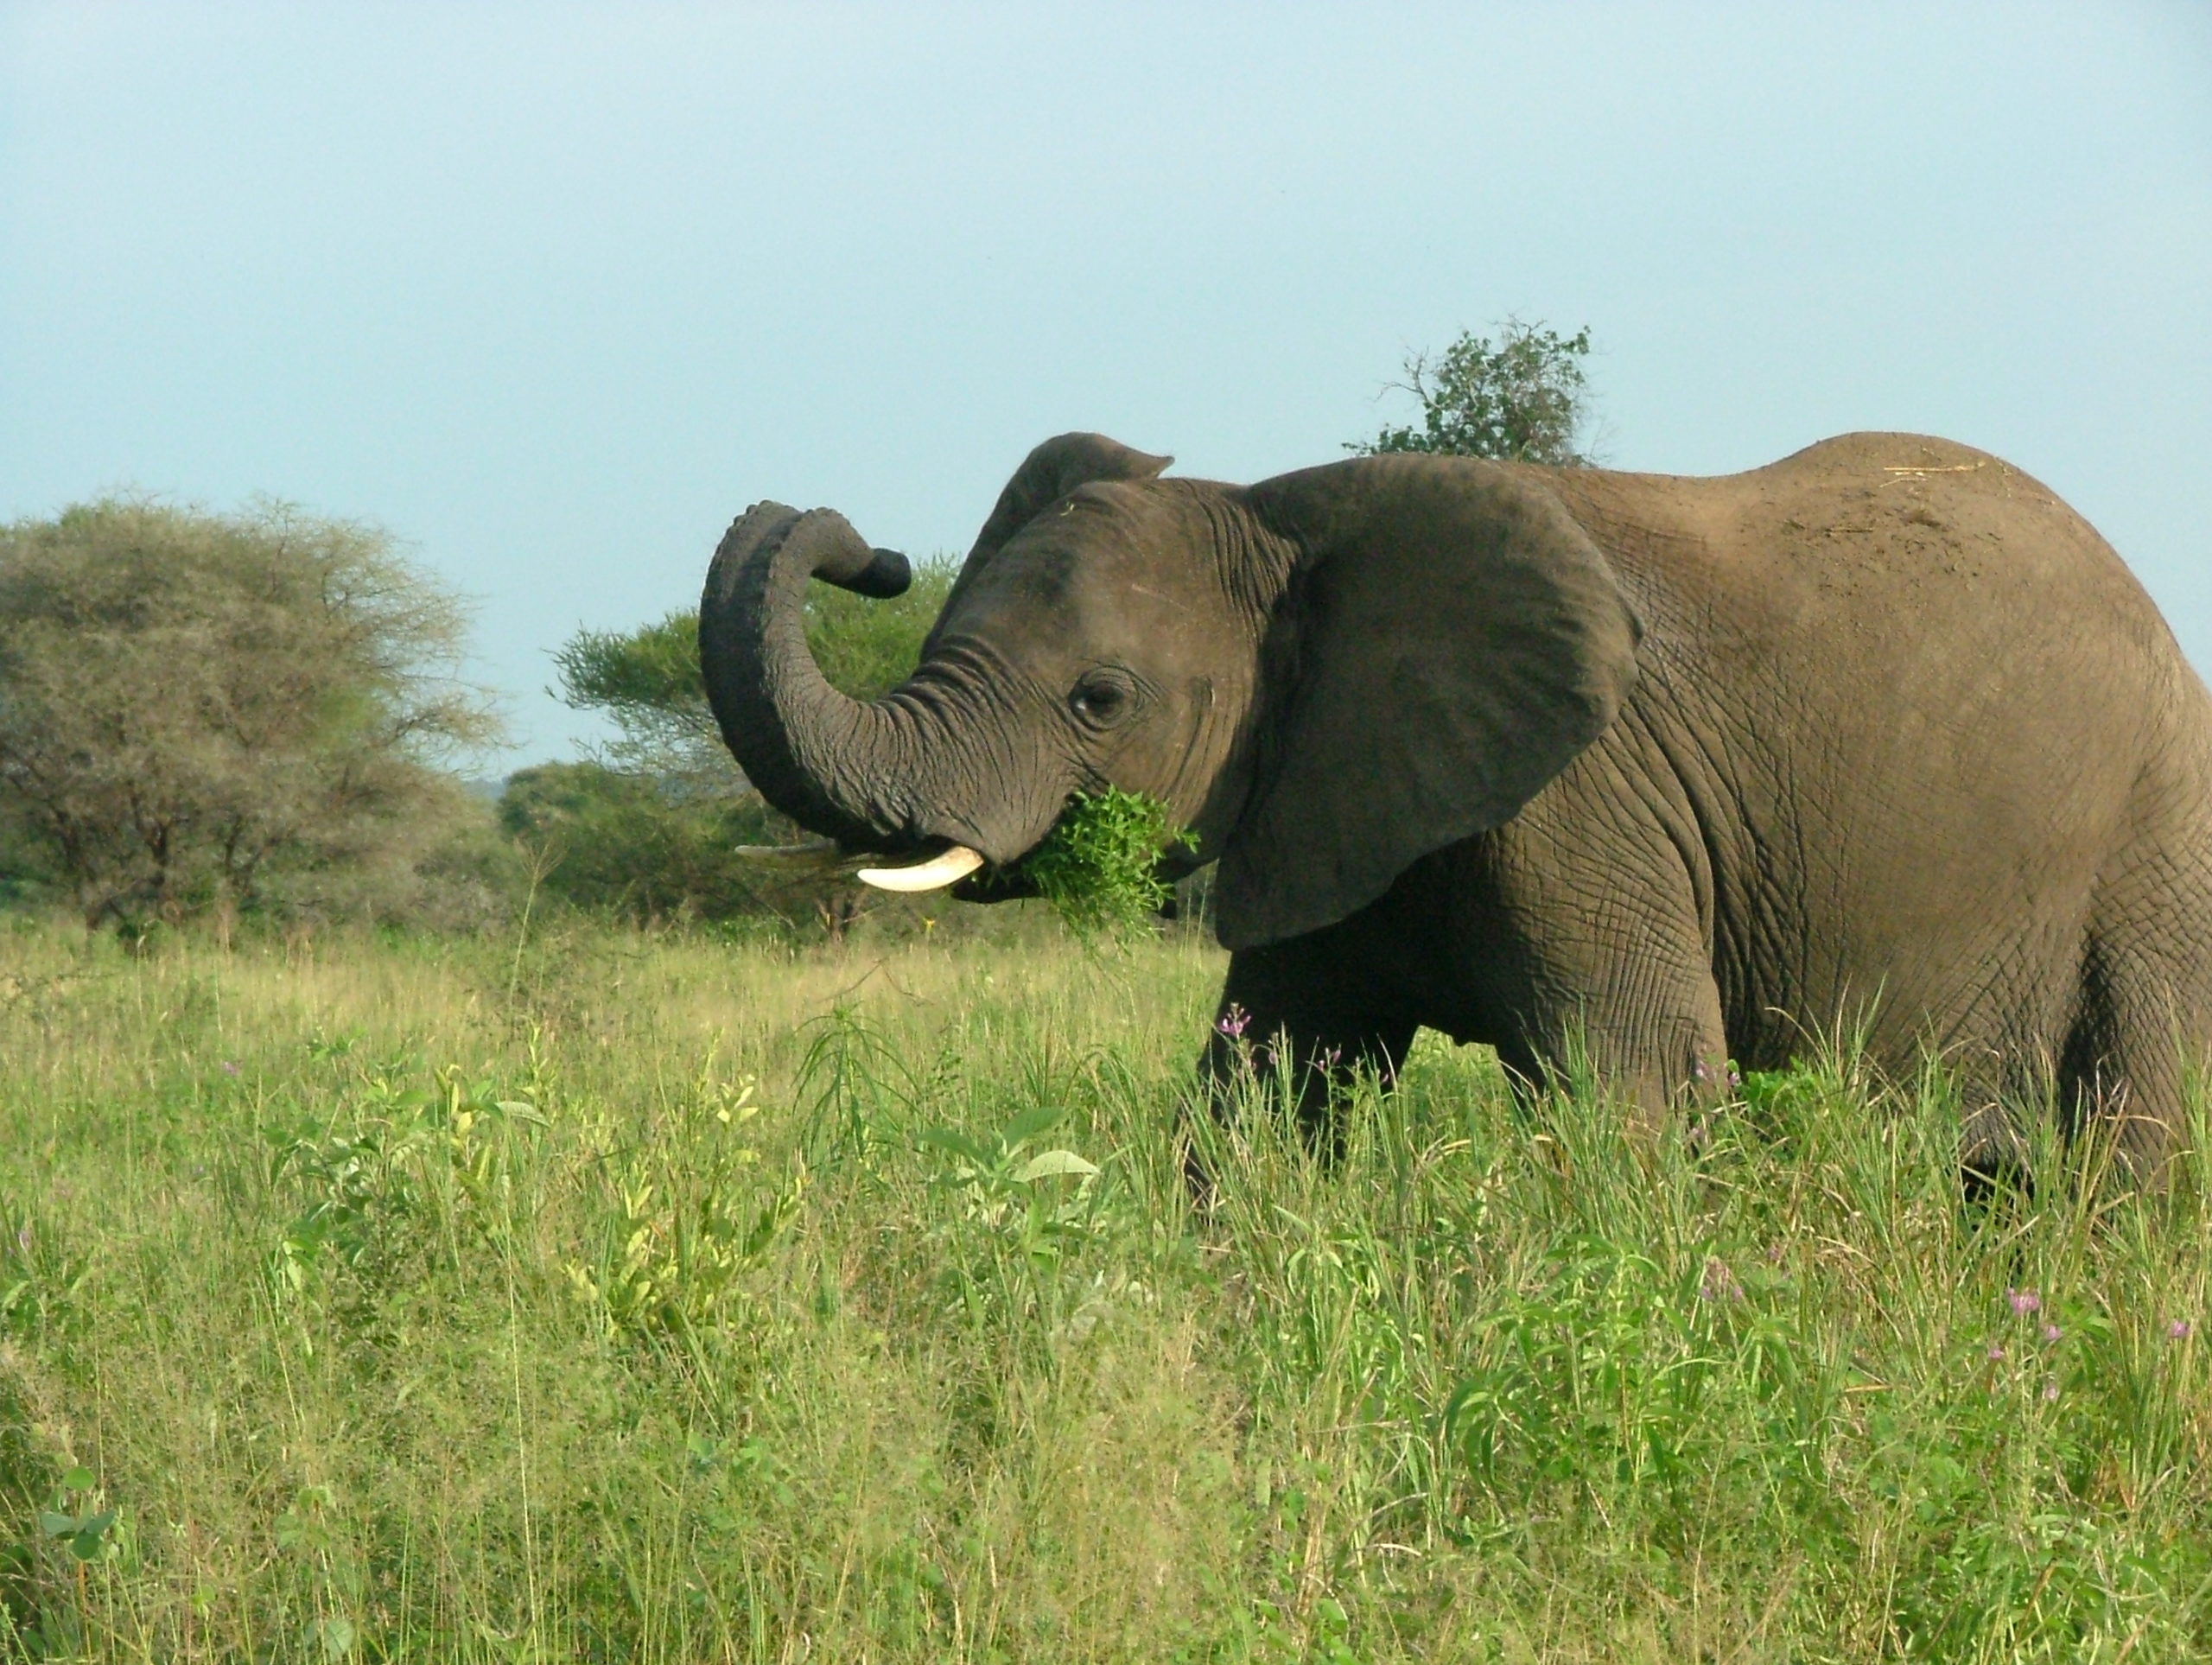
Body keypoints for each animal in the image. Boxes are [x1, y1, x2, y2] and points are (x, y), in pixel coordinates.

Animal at [699, 430, 2212, 1176]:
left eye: (1101, 699)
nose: (872, 554)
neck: (1281, 514)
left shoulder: (1582, 804)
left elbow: (1635, 1090)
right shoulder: (1329, 783)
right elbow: (1263, 1092)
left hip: (2158, 844)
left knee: (2137, 1141)